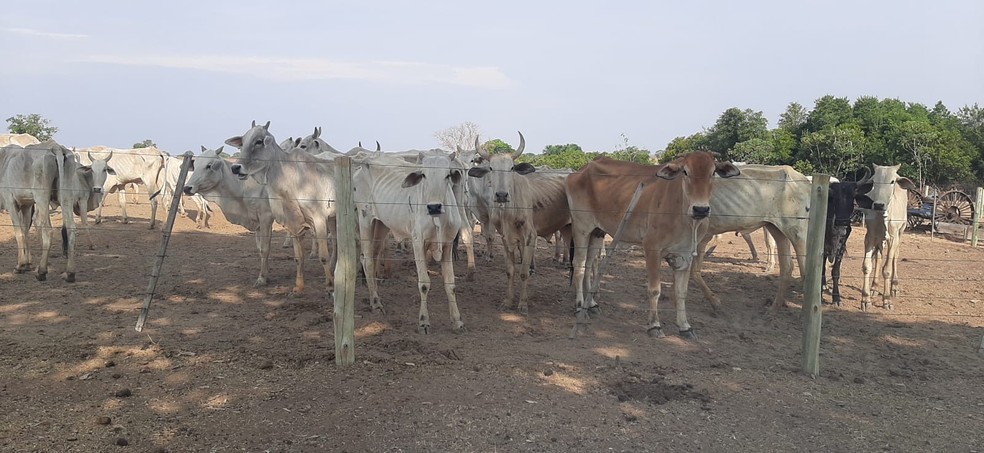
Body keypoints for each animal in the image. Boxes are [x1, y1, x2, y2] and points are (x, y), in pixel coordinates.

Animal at [352, 150, 468, 330]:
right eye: (424, 175)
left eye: (447, 175)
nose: (434, 207)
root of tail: (364, 162)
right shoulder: (418, 243)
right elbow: (424, 283)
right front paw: (424, 321)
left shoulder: (447, 245)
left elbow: (450, 284)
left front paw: (456, 320)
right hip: (365, 219)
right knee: (368, 260)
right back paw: (376, 303)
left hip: (381, 225)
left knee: (372, 257)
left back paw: (374, 295)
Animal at [560, 153, 736, 340]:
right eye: (686, 172)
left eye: (713, 172)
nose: (700, 209)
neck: (685, 217)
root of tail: (581, 170)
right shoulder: (652, 248)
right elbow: (654, 289)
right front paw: (654, 325)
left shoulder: (686, 254)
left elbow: (681, 292)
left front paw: (685, 326)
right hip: (581, 228)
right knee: (579, 266)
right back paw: (580, 306)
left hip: (597, 231)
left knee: (588, 264)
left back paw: (592, 304)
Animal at [856, 163, 920, 310]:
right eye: (874, 181)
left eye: (892, 181)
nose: (878, 204)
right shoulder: (870, 237)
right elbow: (867, 266)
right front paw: (865, 299)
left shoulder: (893, 238)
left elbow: (887, 269)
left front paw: (887, 300)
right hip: (880, 240)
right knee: (879, 257)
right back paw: (874, 287)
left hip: (900, 232)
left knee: (895, 256)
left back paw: (894, 287)